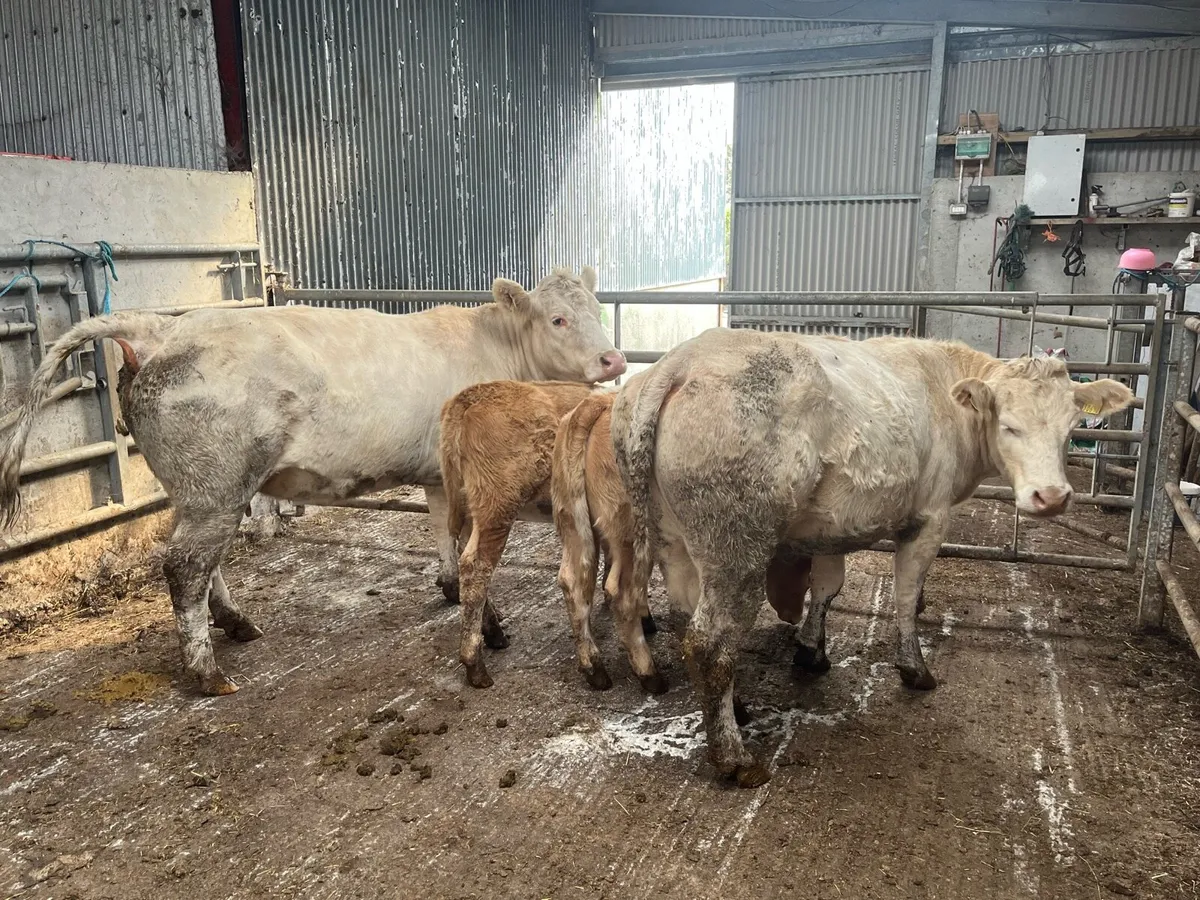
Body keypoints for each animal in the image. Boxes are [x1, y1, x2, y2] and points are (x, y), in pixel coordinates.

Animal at [0, 268, 625, 695]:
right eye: (558, 318)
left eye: (596, 308)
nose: (614, 360)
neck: (497, 347)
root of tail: (164, 328)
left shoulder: (439, 474)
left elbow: (442, 534)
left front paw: (450, 587)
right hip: (219, 486)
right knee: (185, 566)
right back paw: (206, 671)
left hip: (199, 488)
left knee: (199, 561)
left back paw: (234, 622)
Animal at [611, 327, 1134, 787]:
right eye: (1009, 425)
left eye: (1070, 427)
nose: (1053, 497)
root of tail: (682, 360)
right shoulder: (930, 518)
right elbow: (905, 596)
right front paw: (914, 668)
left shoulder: (827, 530)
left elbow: (827, 588)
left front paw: (812, 652)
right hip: (737, 547)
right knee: (709, 643)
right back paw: (734, 758)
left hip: (674, 541)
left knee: (685, 617)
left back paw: (736, 708)